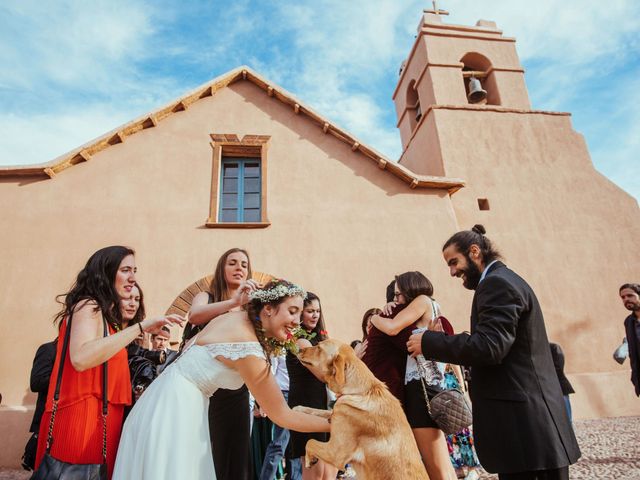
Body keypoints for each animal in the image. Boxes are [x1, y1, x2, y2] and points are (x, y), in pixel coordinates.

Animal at [296, 340, 430, 478]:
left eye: (319, 347)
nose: (298, 349)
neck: (363, 391)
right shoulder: (337, 411)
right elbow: (319, 411)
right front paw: (298, 409)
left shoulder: (335, 453)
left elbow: (310, 441)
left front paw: (309, 459)